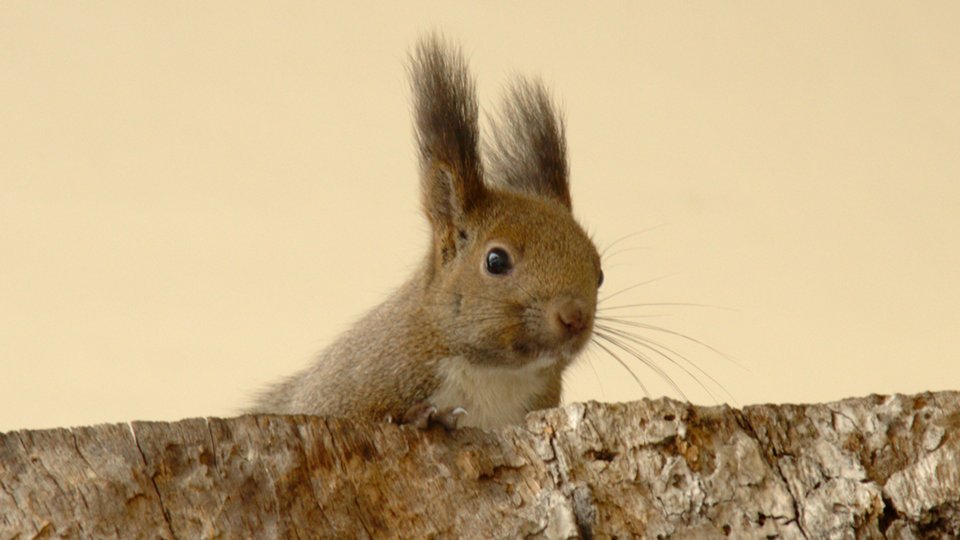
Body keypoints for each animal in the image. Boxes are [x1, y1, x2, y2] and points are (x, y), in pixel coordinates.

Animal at [251, 34, 604, 430]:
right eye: (496, 261)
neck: (494, 374)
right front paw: (422, 416)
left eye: (600, 273)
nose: (575, 317)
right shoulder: (339, 391)